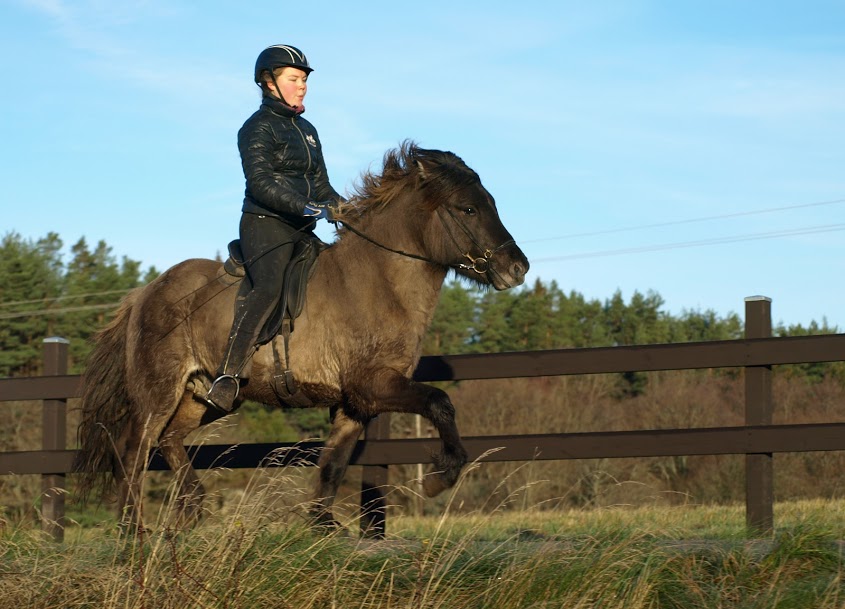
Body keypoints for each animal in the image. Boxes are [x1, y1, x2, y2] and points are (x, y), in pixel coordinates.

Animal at [74, 141, 528, 528]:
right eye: (467, 209)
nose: (517, 268)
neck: (379, 280)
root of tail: (145, 292)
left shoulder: (355, 404)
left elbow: (333, 465)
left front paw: (322, 524)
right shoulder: (372, 384)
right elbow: (440, 402)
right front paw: (440, 476)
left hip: (206, 396)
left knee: (169, 440)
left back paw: (192, 508)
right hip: (159, 390)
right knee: (134, 450)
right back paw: (134, 532)